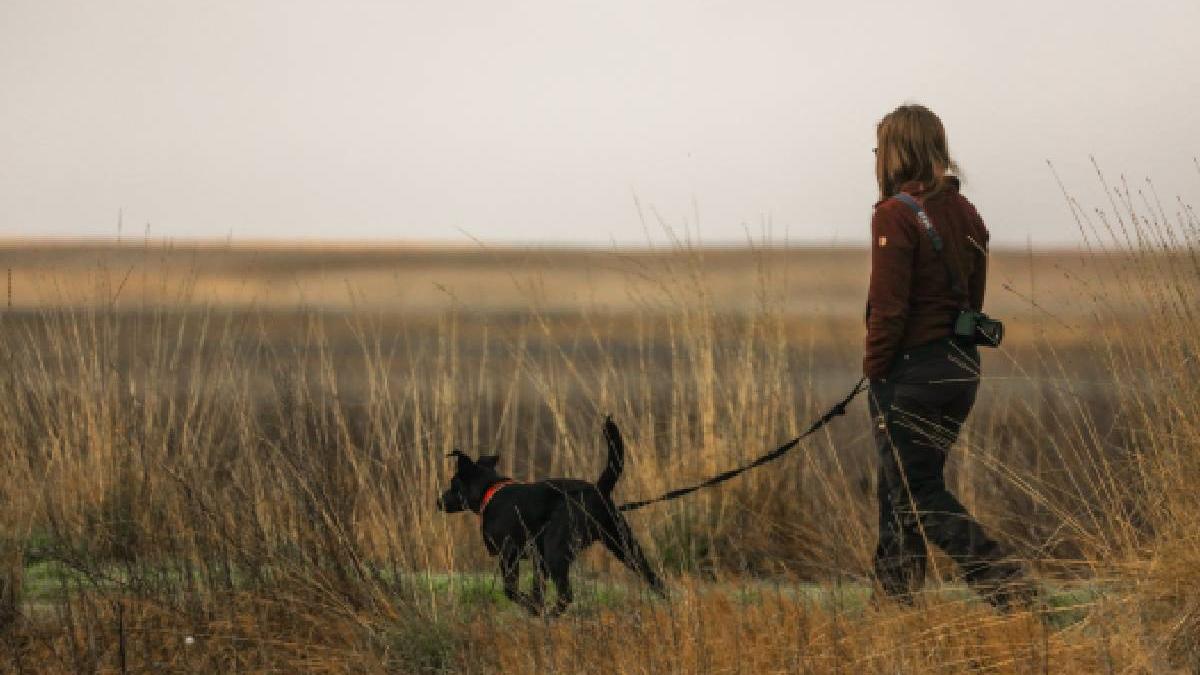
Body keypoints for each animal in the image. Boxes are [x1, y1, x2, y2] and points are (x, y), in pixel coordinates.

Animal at [439, 413, 667, 612]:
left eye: (453, 483)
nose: (438, 501)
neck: (491, 490)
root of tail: (597, 490)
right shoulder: (538, 560)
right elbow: (537, 589)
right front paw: (536, 606)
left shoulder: (509, 552)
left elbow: (511, 590)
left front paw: (532, 607)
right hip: (624, 546)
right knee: (654, 578)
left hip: (556, 551)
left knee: (566, 595)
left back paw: (551, 613)